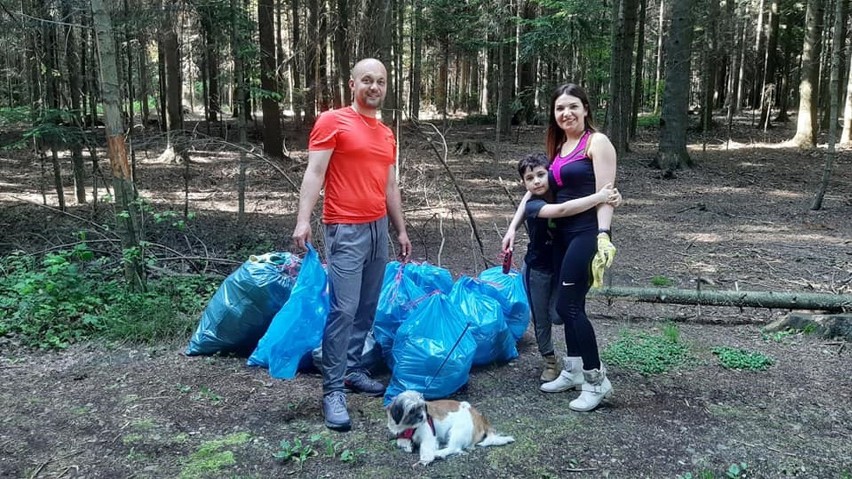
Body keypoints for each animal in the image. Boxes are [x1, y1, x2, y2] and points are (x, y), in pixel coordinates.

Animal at [384, 392, 512, 466]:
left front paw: (426, 458)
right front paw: (408, 445)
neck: (409, 427)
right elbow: (401, 442)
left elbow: (425, 447)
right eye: (412, 410)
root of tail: (480, 417)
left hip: (457, 431)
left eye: (422, 407)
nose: (422, 416)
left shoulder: (429, 436)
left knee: (454, 448)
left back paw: (438, 454)